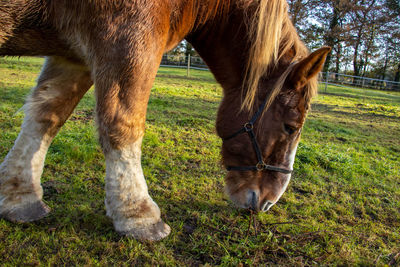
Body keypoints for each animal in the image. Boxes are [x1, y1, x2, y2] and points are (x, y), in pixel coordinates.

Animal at [0, 0, 330, 242]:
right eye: (291, 127)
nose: (268, 202)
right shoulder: (127, 39)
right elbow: (123, 125)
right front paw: (138, 215)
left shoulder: (73, 54)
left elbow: (47, 115)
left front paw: (20, 197)